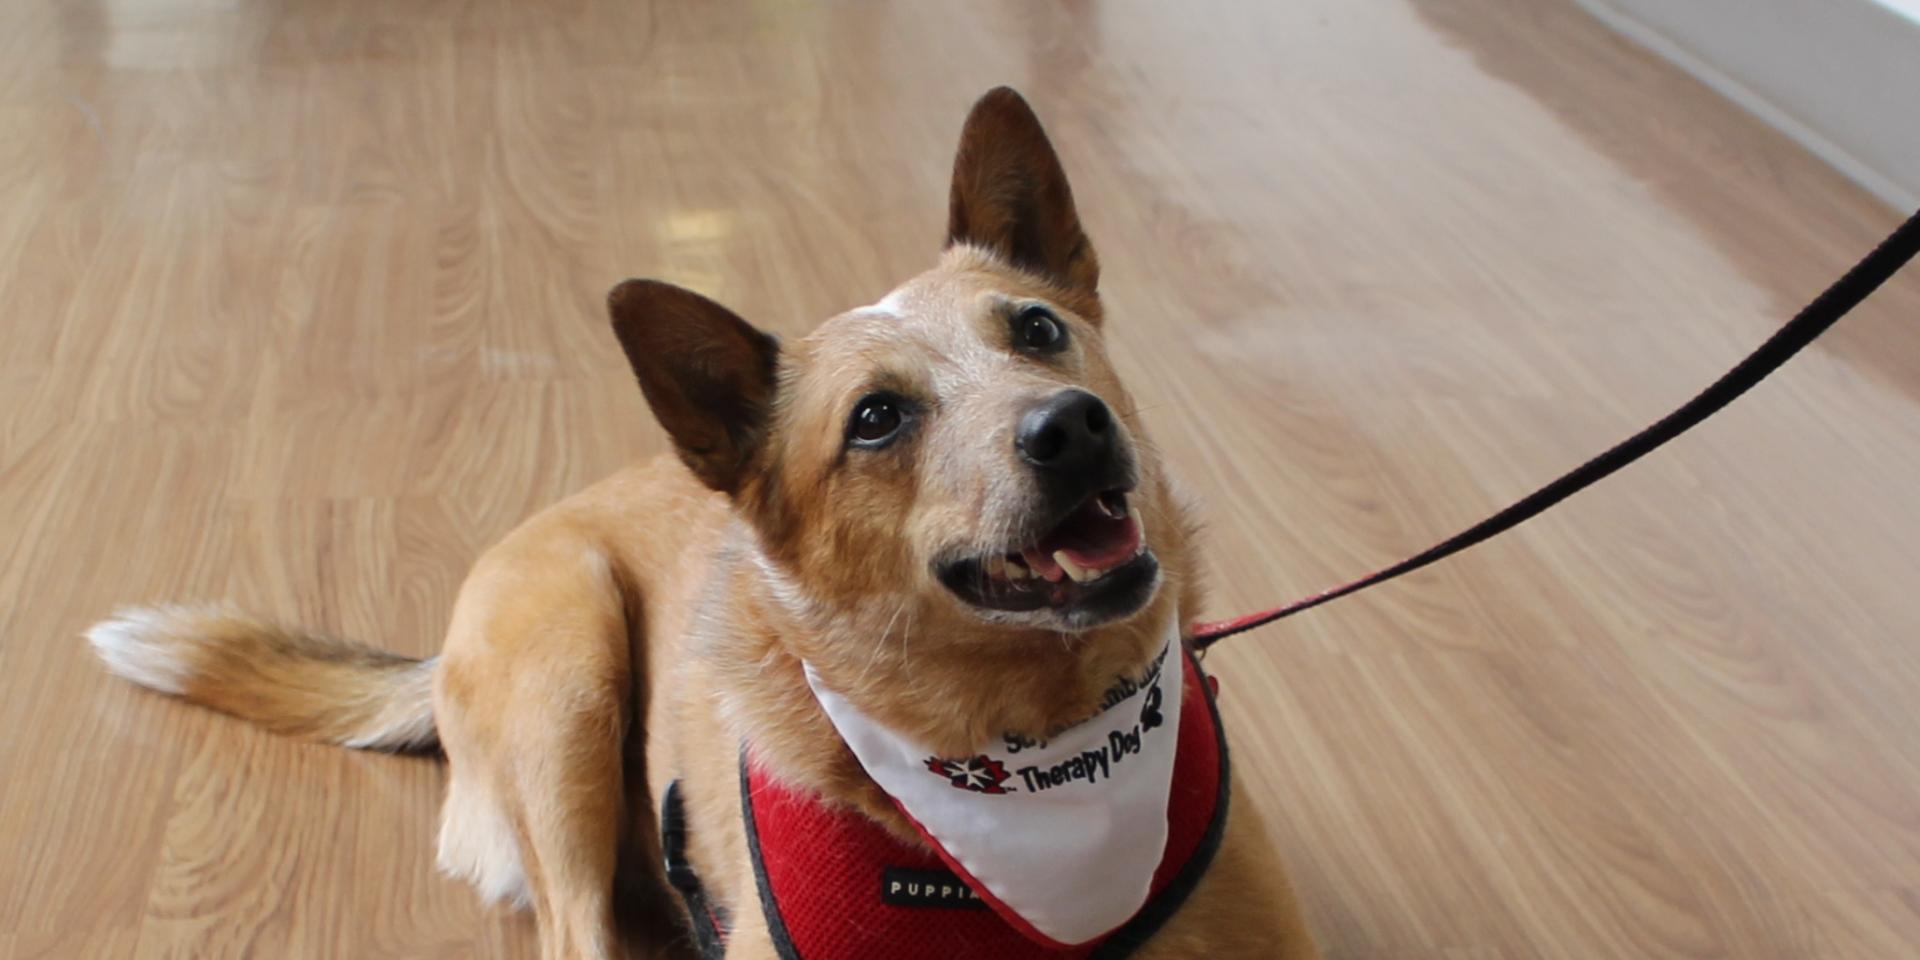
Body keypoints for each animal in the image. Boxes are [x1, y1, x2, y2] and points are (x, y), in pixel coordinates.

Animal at [90, 86, 1320, 956]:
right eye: (876, 418)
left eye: (1037, 329)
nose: (1072, 427)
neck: (1033, 762)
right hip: (569, 668)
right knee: (577, 932)